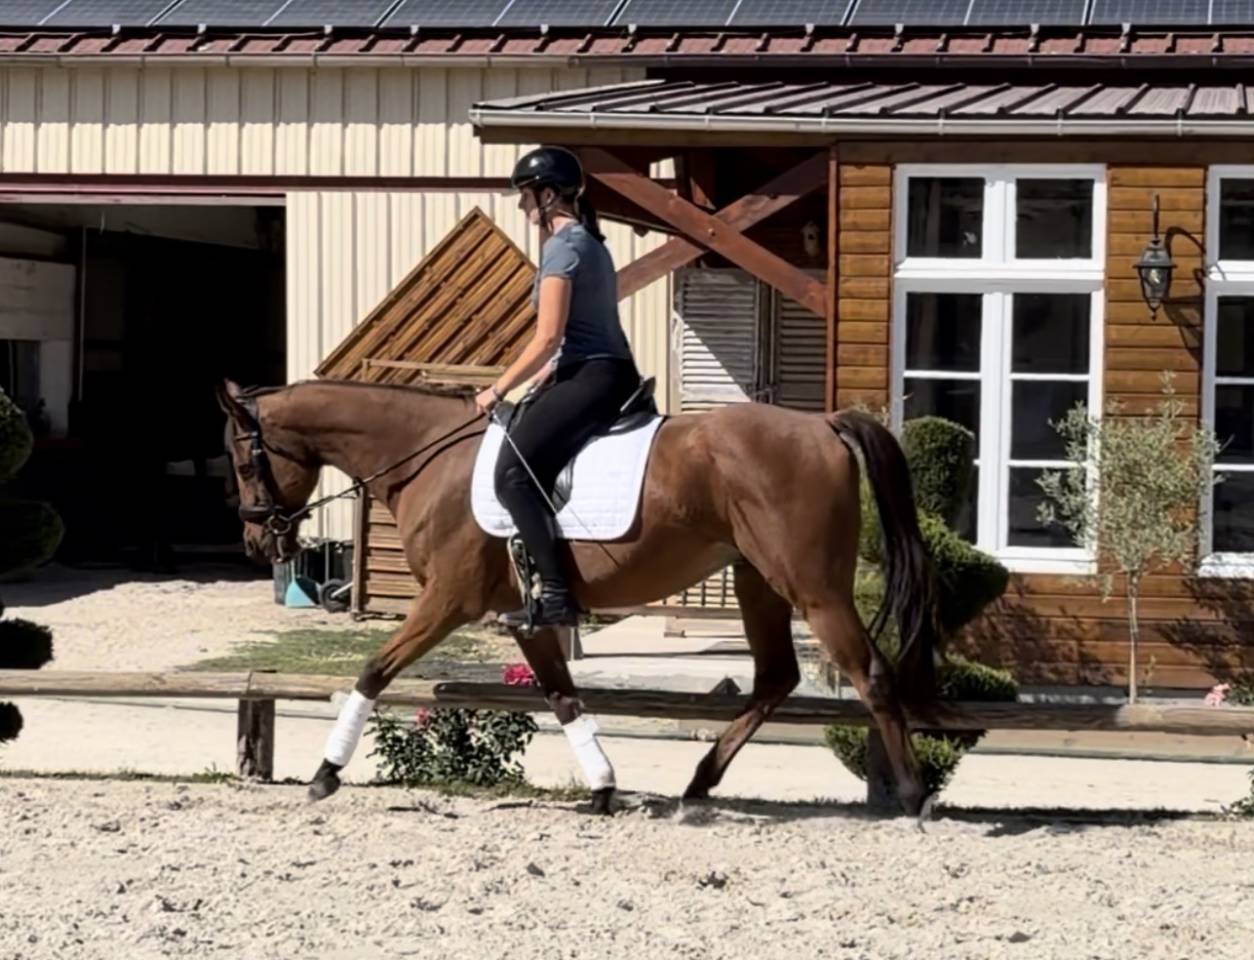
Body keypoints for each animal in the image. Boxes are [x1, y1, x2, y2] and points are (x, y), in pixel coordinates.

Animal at [215, 376, 939, 815]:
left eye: (246, 462)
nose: (255, 543)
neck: (426, 456)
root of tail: (822, 425)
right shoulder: (527, 617)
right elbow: (562, 696)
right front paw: (603, 787)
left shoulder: (448, 601)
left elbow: (372, 670)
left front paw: (325, 772)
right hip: (759, 580)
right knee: (775, 679)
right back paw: (697, 785)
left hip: (811, 587)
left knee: (870, 674)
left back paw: (914, 796)